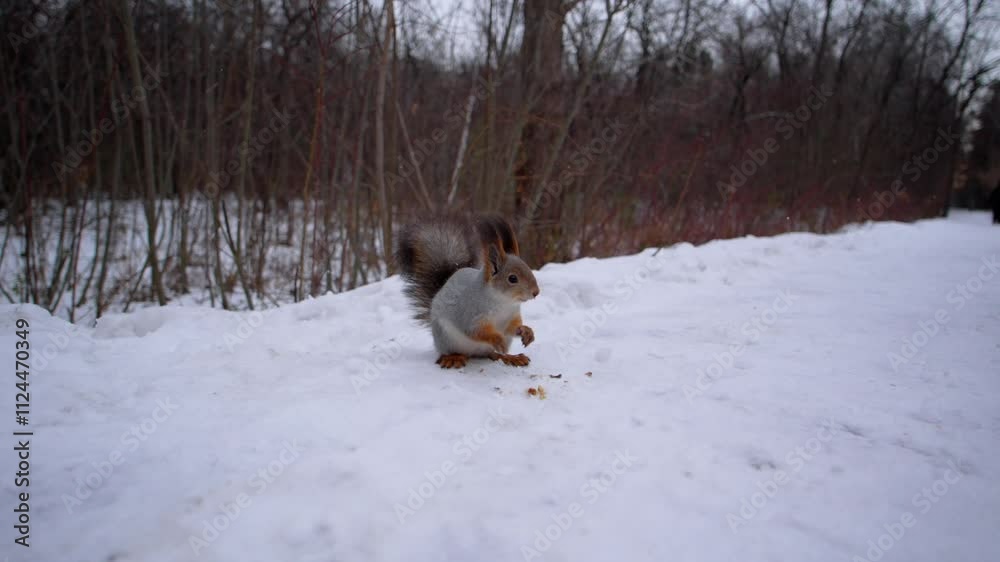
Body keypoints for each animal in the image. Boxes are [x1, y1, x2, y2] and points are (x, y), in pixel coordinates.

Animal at [394, 214, 540, 369]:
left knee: (492, 354)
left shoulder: (511, 317)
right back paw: (453, 358)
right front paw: (498, 339)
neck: (504, 302)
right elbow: (475, 330)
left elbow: (512, 328)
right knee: (449, 352)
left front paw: (526, 331)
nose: (536, 292)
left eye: (528, 268)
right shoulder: (470, 313)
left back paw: (510, 357)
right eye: (512, 278)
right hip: (447, 338)